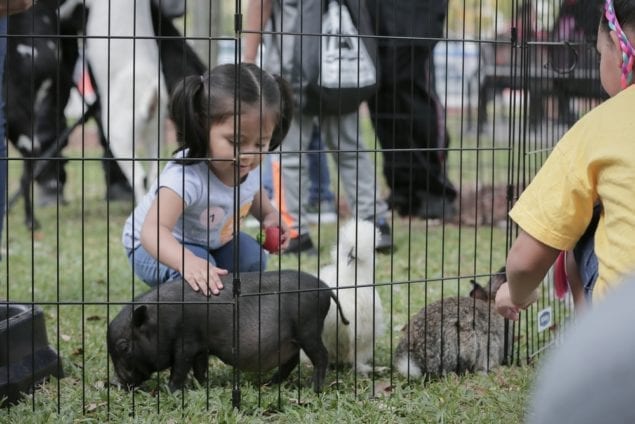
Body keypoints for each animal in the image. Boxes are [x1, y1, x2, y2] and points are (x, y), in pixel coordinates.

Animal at [107, 270, 350, 392]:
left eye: (123, 346)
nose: (116, 382)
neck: (161, 320)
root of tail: (326, 289)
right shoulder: (201, 346)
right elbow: (200, 368)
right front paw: (202, 386)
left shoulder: (186, 342)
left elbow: (180, 367)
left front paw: (171, 391)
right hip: (292, 339)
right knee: (291, 361)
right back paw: (270, 384)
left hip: (308, 328)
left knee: (321, 356)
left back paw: (313, 389)